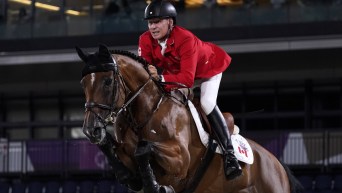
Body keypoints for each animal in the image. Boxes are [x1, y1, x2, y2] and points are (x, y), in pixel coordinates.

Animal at [76, 44, 300, 193]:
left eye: (107, 82)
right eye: (83, 84)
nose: (90, 130)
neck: (146, 112)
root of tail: (278, 164)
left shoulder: (180, 159)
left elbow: (144, 148)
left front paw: (157, 185)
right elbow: (112, 150)